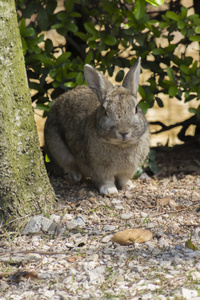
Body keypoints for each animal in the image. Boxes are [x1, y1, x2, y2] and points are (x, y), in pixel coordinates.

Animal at [44, 57, 149, 195]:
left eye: (136, 109)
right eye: (105, 112)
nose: (123, 132)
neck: (121, 145)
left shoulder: (128, 170)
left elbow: (123, 179)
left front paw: (128, 186)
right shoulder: (99, 169)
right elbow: (105, 179)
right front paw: (110, 190)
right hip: (58, 148)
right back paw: (75, 175)